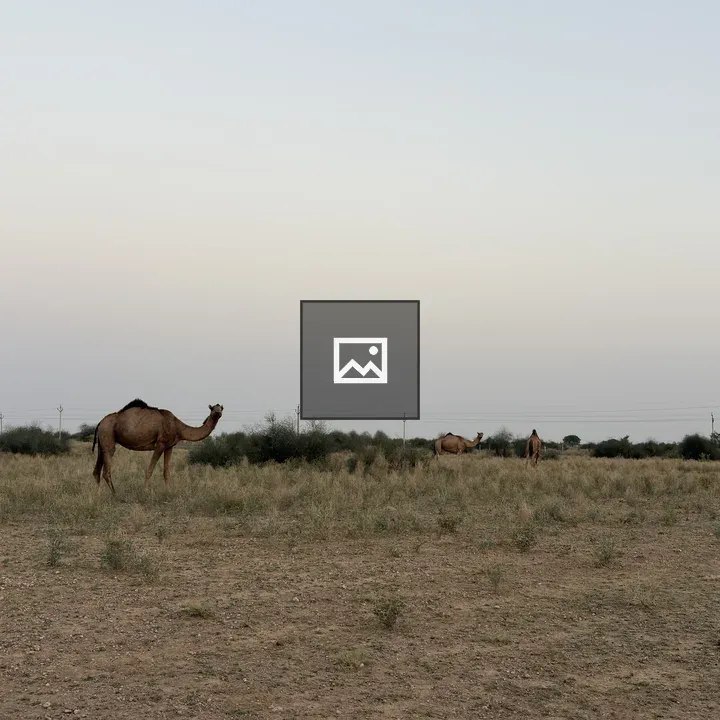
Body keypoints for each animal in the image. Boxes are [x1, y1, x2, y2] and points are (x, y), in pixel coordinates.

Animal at [92, 399, 223, 495]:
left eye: (221, 407)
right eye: (213, 408)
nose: (218, 412)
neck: (178, 427)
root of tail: (100, 422)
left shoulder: (170, 446)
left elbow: (167, 472)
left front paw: (168, 492)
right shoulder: (160, 444)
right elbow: (149, 470)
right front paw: (145, 491)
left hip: (102, 442)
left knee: (96, 470)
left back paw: (99, 494)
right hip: (108, 434)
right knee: (106, 470)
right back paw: (115, 494)